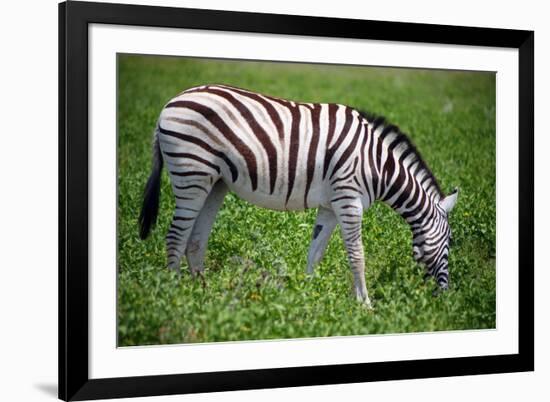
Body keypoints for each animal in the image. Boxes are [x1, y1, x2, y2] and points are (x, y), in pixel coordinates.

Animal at [140, 83, 460, 306]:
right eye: (451, 242)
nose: (445, 296)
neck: (378, 165)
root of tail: (169, 103)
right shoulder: (349, 199)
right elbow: (357, 254)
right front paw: (366, 305)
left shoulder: (330, 206)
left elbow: (315, 252)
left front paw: (307, 296)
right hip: (191, 174)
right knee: (175, 237)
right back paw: (176, 294)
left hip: (214, 183)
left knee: (195, 241)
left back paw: (204, 294)